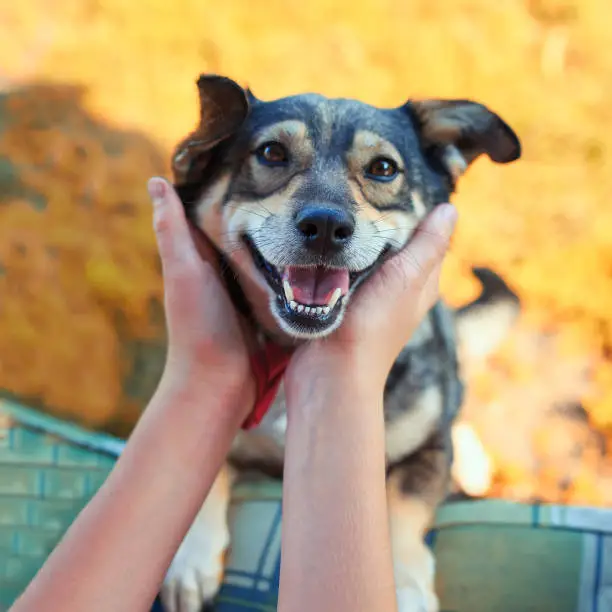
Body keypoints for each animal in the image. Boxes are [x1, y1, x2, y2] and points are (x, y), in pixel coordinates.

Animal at [159, 74, 520, 608]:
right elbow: (208, 468)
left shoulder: (429, 452)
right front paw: (190, 559)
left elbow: (402, 506)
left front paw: (406, 587)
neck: (290, 352)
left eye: (383, 168)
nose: (326, 227)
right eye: (271, 153)